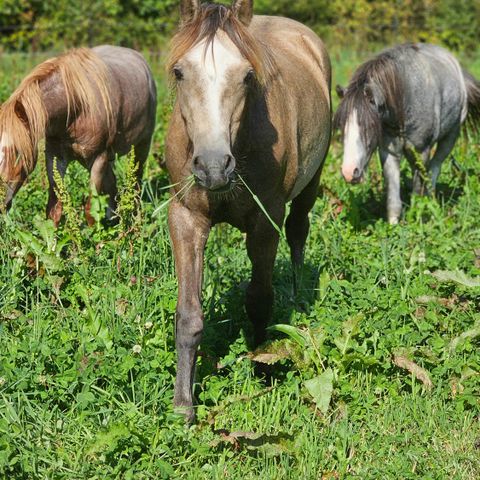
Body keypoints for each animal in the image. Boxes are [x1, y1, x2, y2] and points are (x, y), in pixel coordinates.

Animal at [0, 45, 157, 225]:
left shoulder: (99, 158)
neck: (76, 107)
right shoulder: (55, 158)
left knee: (136, 182)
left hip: (141, 146)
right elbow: (54, 208)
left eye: (17, 153)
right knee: (112, 184)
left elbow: (90, 210)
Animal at [165, 0, 330, 420]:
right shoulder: (186, 218)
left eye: (247, 76)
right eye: (179, 72)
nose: (212, 167)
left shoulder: (265, 222)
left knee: (299, 232)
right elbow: (188, 315)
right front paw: (183, 405)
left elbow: (259, 299)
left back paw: (297, 290)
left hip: (311, 185)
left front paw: (262, 368)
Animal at [334, 44, 480, 224]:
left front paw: (417, 219)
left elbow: (418, 191)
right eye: (342, 128)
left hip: (450, 137)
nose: (349, 173)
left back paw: (431, 204)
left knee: (434, 169)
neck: (404, 99)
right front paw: (394, 225)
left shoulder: (421, 151)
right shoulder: (389, 153)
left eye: (370, 127)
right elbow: (393, 197)